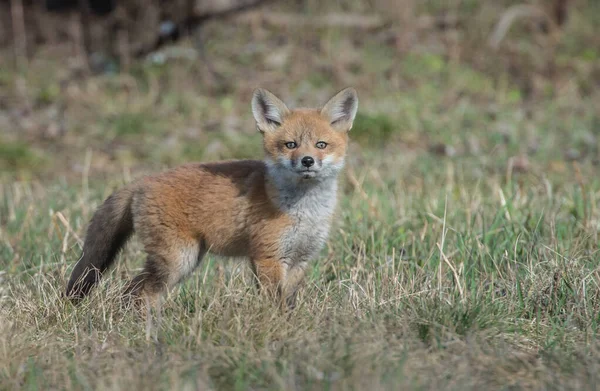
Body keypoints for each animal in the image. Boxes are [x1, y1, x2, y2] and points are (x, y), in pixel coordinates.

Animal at [65, 87, 358, 310]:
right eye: (290, 145)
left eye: (321, 145)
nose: (307, 161)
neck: (305, 211)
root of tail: (143, 181)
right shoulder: (268, 257)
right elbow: (273, 305)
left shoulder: (300, 259)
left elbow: (289, 303)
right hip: (177, 260)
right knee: (139, 291)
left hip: (185, 261)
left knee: (131, 291)